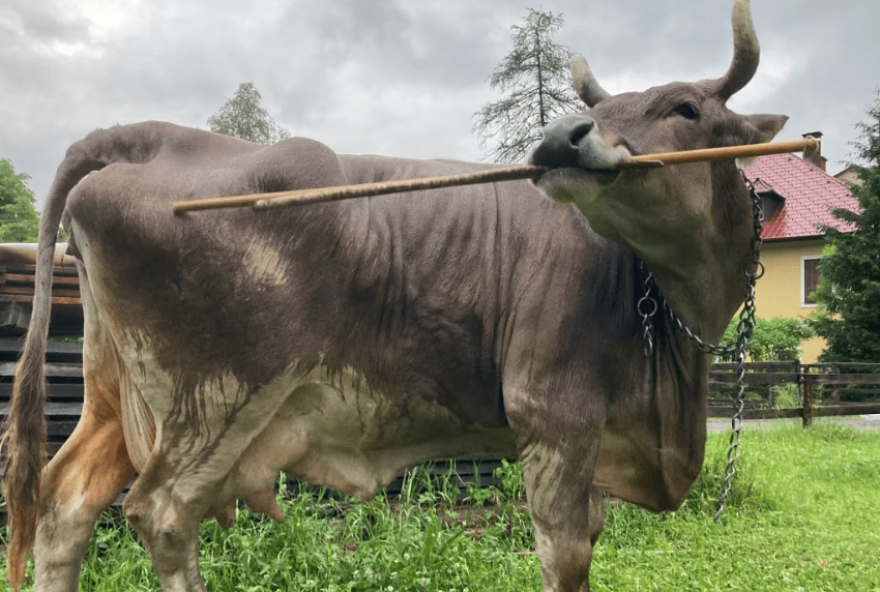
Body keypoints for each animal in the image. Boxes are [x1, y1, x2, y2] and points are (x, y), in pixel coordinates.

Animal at [2, 1, 786, 590]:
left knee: (65, 504)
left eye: (684, 107)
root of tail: (150, 136)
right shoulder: (553, 416)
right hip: (217, 398)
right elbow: (564, 557)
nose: (562, 137)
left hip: (118, 395)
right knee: (161, 514)